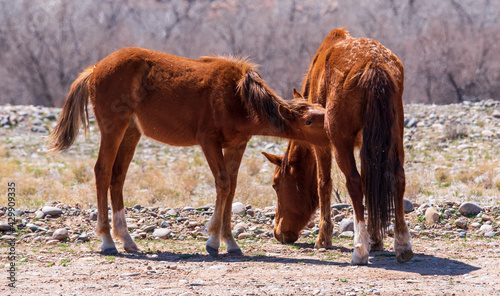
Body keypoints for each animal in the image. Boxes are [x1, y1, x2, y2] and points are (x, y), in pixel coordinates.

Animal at [47, 46, 328, 256]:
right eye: (309, 121)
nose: (331, 132)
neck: (240, 97)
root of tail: (95, 69)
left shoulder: (237, 145)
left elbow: (232, 187)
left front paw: (230, 242)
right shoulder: (209, 141)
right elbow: (223, 183)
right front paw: (213, 241)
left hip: (131, 132)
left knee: (117, 178)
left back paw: (127, 240)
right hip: (113, 128)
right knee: (102, 171)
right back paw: (107, 241)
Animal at [264, 27, 412, 264]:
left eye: (275, 184)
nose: (278, 232)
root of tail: (374, 65)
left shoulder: (323, 145)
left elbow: (323, 184)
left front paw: (323, 238)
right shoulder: (366, 146)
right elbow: (371, 183)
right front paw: (376, 239)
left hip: (341, 143)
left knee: (353, 182)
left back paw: (359, 250)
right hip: (394, 137)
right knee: (397, 176)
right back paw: (403, 245)